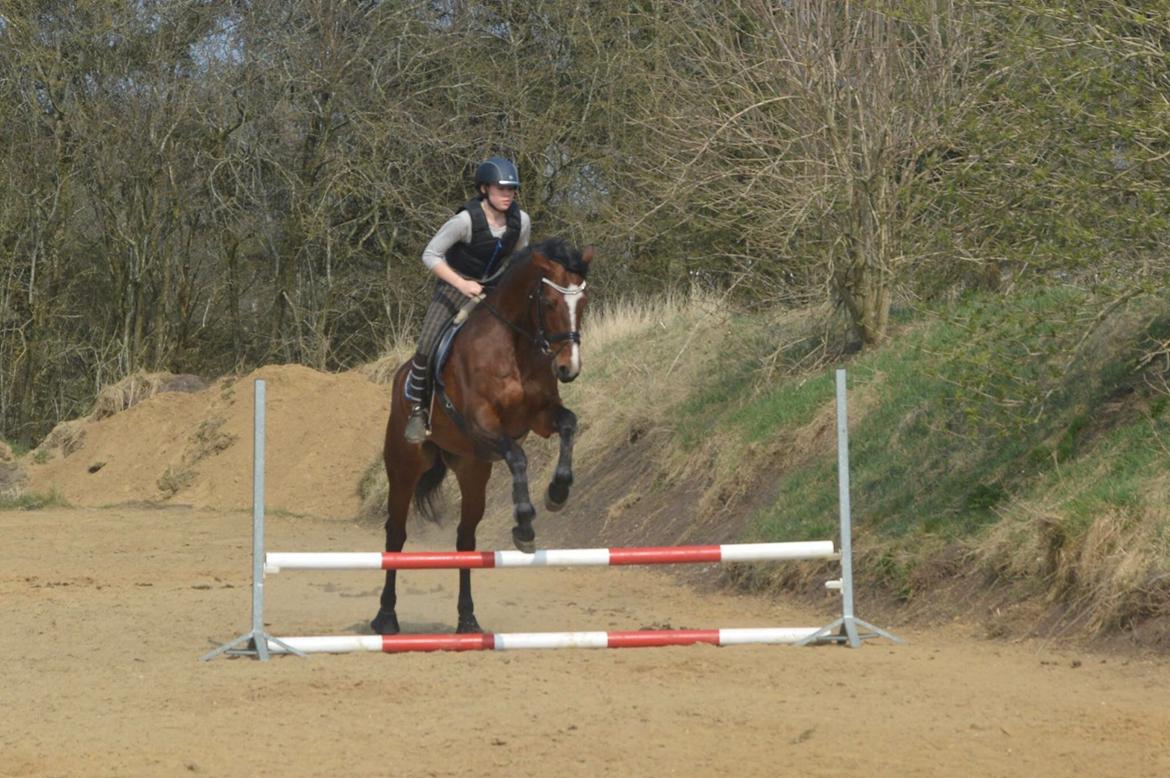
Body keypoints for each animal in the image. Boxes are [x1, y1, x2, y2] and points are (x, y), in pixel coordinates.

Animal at [371, 238, 593, 635]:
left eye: (582, 303)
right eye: (551, 303)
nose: (569, 368)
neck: (515, 346)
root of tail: (398, 378)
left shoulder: (540, 416)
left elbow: (569, 424)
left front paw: (557, 492)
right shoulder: (482, 424)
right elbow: (518, 456)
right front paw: (525, 523)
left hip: (472, 470)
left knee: (465, 539)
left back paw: (467, 619)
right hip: (404, 467)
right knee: (395, 533)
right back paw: (386, 617)